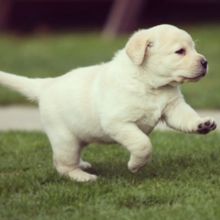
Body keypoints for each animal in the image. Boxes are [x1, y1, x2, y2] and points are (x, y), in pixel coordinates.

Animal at [0, 24, 217, 182]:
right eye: (180, 51)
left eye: (194, 48)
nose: (205, 62)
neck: (149, 83)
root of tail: (46, 84)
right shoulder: (118, 122)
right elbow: (142, 143)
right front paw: (135, 165)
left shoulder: (173, 107)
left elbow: (187, 117)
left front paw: (203, 124)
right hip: (64, 138)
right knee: (63, 165)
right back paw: (82, 176)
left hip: (77, 136)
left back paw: (82, 165)